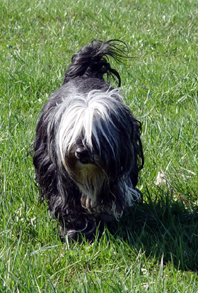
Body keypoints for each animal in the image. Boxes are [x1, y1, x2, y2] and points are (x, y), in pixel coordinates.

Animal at [32, 39, 144, 242]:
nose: (81, 153)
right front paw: (76, 232)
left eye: (98, 136)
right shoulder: (60, 179)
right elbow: (68, 206)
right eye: (73, 135)